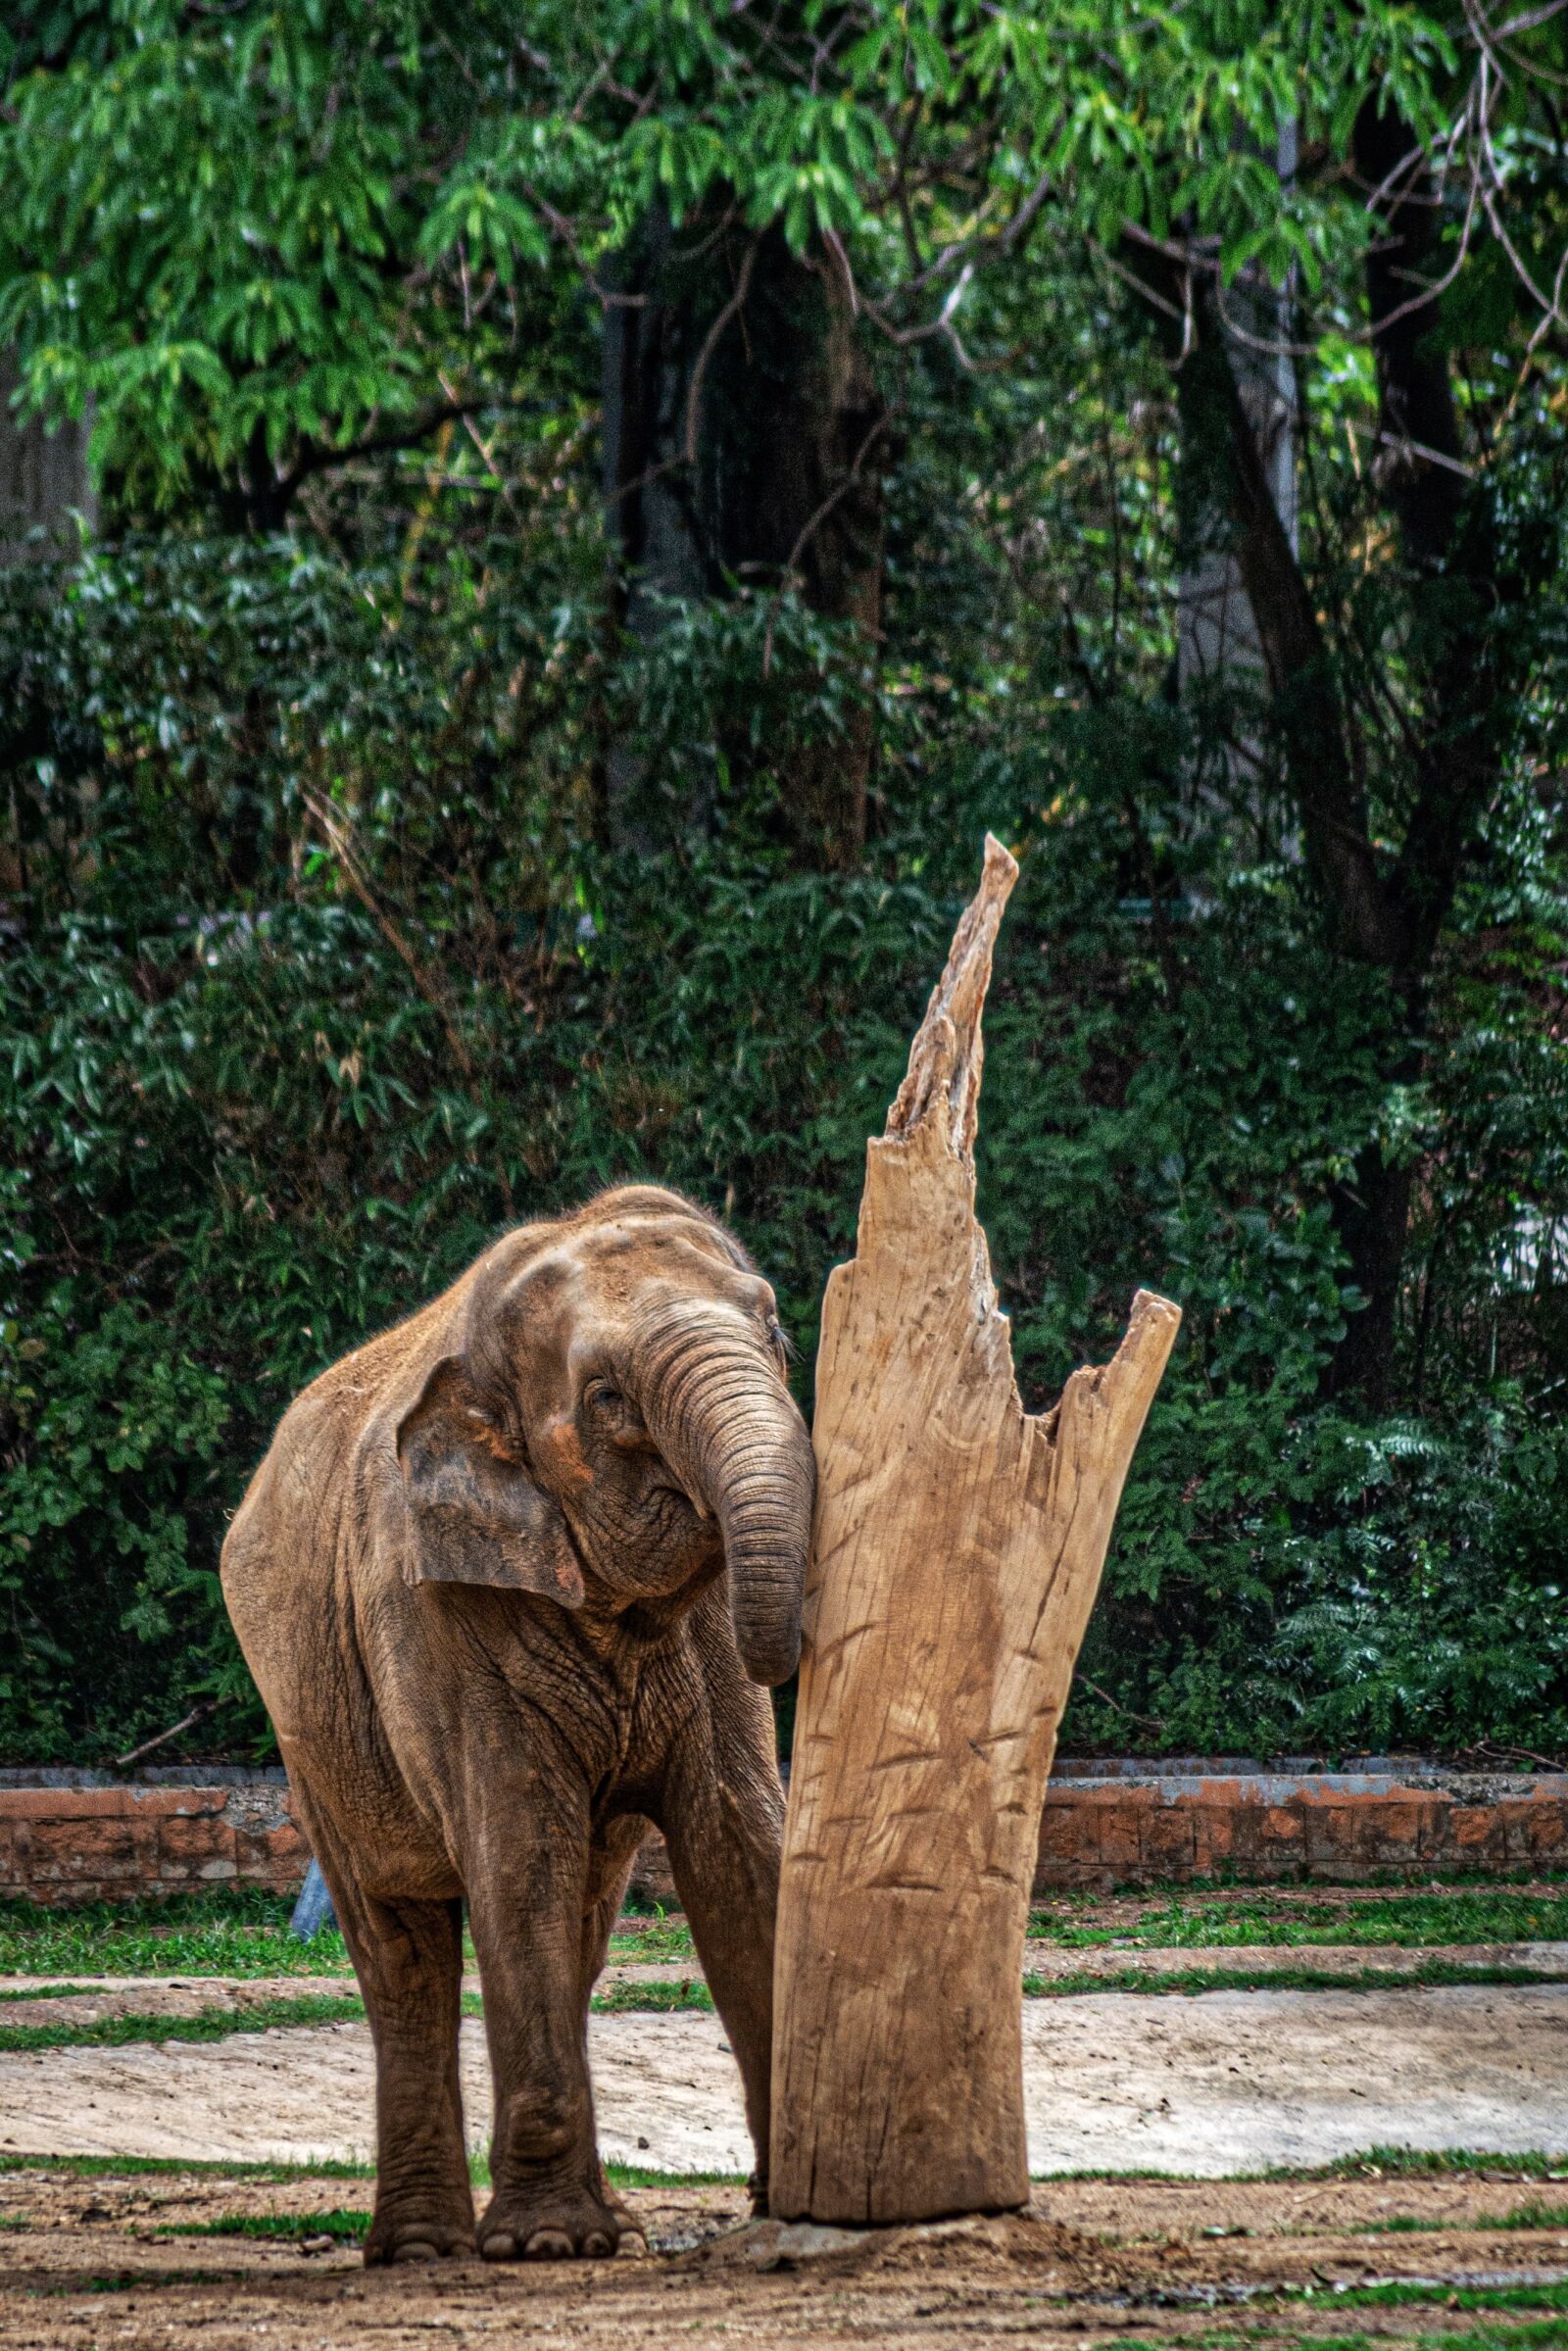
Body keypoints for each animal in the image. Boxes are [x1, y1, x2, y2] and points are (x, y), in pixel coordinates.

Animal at [221, 1183, 814, 2266]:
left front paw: (789, 2199)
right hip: (308, 1733)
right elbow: (520, 1847)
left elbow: (739, 1847)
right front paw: (545, 2244)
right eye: (607, 1399)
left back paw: (599, 2226)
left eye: (777, 1330)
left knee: (577, 1922)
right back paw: (426, 2248)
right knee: (401, 1949)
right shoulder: (439, 1606)